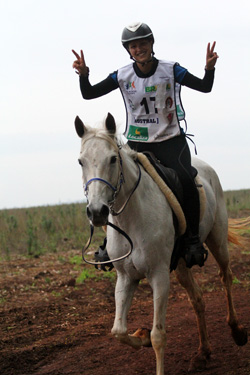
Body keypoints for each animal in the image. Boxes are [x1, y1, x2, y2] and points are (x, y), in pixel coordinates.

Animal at [74, 114, 248, 375]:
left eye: (113, 159)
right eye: (80, 161)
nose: (97, 212)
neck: (132, 218)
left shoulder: (158, 276)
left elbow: (159, 336)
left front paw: (149, 338)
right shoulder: (126, 277)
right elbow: (118, 331)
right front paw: (141, 335)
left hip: (217, 240)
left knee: (225, 277)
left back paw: (237, 331)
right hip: (182, 264)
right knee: (198, 299)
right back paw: (203, 353)